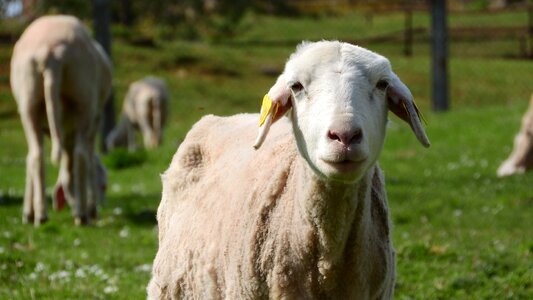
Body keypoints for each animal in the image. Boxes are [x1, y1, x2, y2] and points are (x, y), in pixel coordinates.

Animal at [9, 14, 112, 225]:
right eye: (103, 185)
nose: (103, 205)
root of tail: (50, 53)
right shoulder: (95, 121)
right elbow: (90, 160)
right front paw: (91, 207)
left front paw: (28, 212)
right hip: (84, 102)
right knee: (81, 155)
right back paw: (81, 214)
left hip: (28, 102)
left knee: (36, 155)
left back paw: (40, 214)